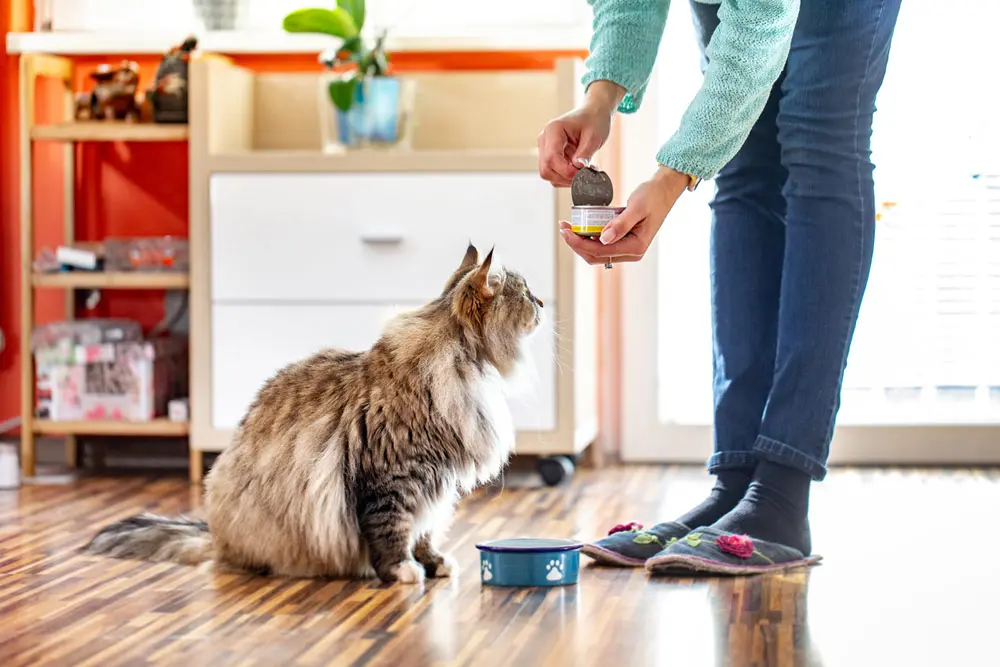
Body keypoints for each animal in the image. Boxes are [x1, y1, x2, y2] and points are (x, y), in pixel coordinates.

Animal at [82, 245, 544, 584]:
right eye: (524, 293)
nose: (541, 302)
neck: (462, 369)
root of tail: (214, 534)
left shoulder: (437, 482)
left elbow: (426, 528)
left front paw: (434, 562)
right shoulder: (393, 479)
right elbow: (393, 531)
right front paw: (403, 571)